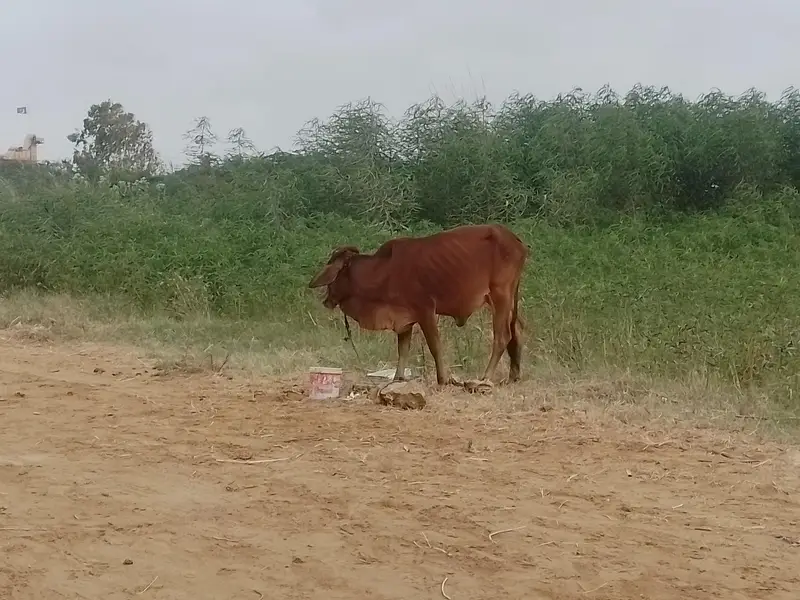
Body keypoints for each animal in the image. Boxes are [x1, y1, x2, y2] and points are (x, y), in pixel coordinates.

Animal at [307, 223, 528, 386]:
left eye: (334, 274)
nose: (326, 300)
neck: (383, 271)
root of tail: (516, 240)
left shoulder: (425, 310)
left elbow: (435, 346)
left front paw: (443, 379)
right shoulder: (403, 318)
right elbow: (403, 349)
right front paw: (398, 377)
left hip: (500, 295)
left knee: (503, 336)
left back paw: (486, 377)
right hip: (508, 299)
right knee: (516, 331)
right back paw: (513, 376)